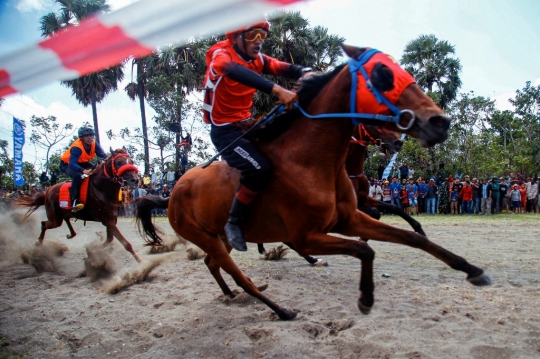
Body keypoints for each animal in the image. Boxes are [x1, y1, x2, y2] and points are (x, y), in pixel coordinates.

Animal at [137, 44, 492, 320]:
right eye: (382, 75)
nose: (439, 122)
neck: (311, 161)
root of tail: (171, 194)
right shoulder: (309, 235)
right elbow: (364, 250)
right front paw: (366, 297)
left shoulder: (350, 217)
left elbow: (409, 236)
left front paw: (472, 269)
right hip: (208, 238)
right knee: (238, 275)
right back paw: (280, 309)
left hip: (218, 238)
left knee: (213, 265)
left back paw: (231, 294)